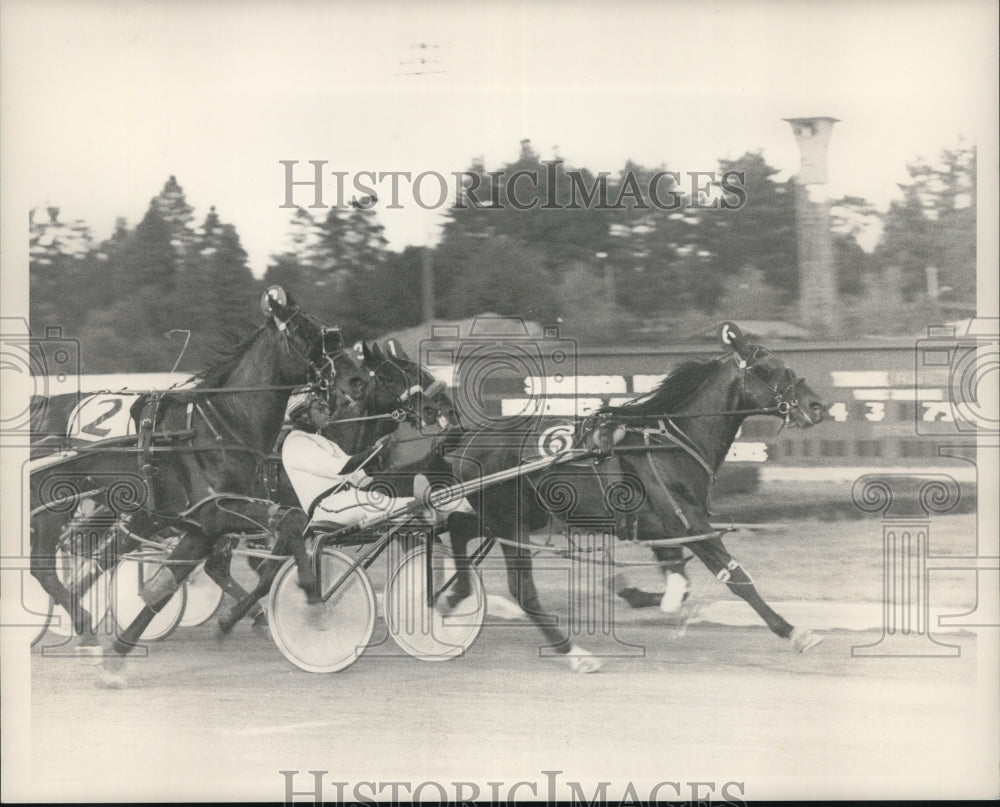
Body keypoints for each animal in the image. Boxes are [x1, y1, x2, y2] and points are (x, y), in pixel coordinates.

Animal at [29, 288, 348, 684]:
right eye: (307, 332)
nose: (344, 386)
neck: (222, 424)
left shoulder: (202, 526)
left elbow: (167, 585)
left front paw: (118, 657)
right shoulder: (217, 512)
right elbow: (289, 521)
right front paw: (314, 597)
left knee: (64, 563)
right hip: (54, 504)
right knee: (43, 566)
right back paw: (85, 629)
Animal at [438, 320, 828, 668]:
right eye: (769, 368)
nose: (817, 406)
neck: (670, 443)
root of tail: (469, 439)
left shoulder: (664, 527)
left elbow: (679, 581)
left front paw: (643, 594)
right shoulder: (688, 522)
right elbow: (735, 577)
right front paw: (794, 631)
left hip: (517, 518)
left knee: (458, 526)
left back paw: (453, 596)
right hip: (510, 521)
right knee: (522, 589)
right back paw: (575, 654)